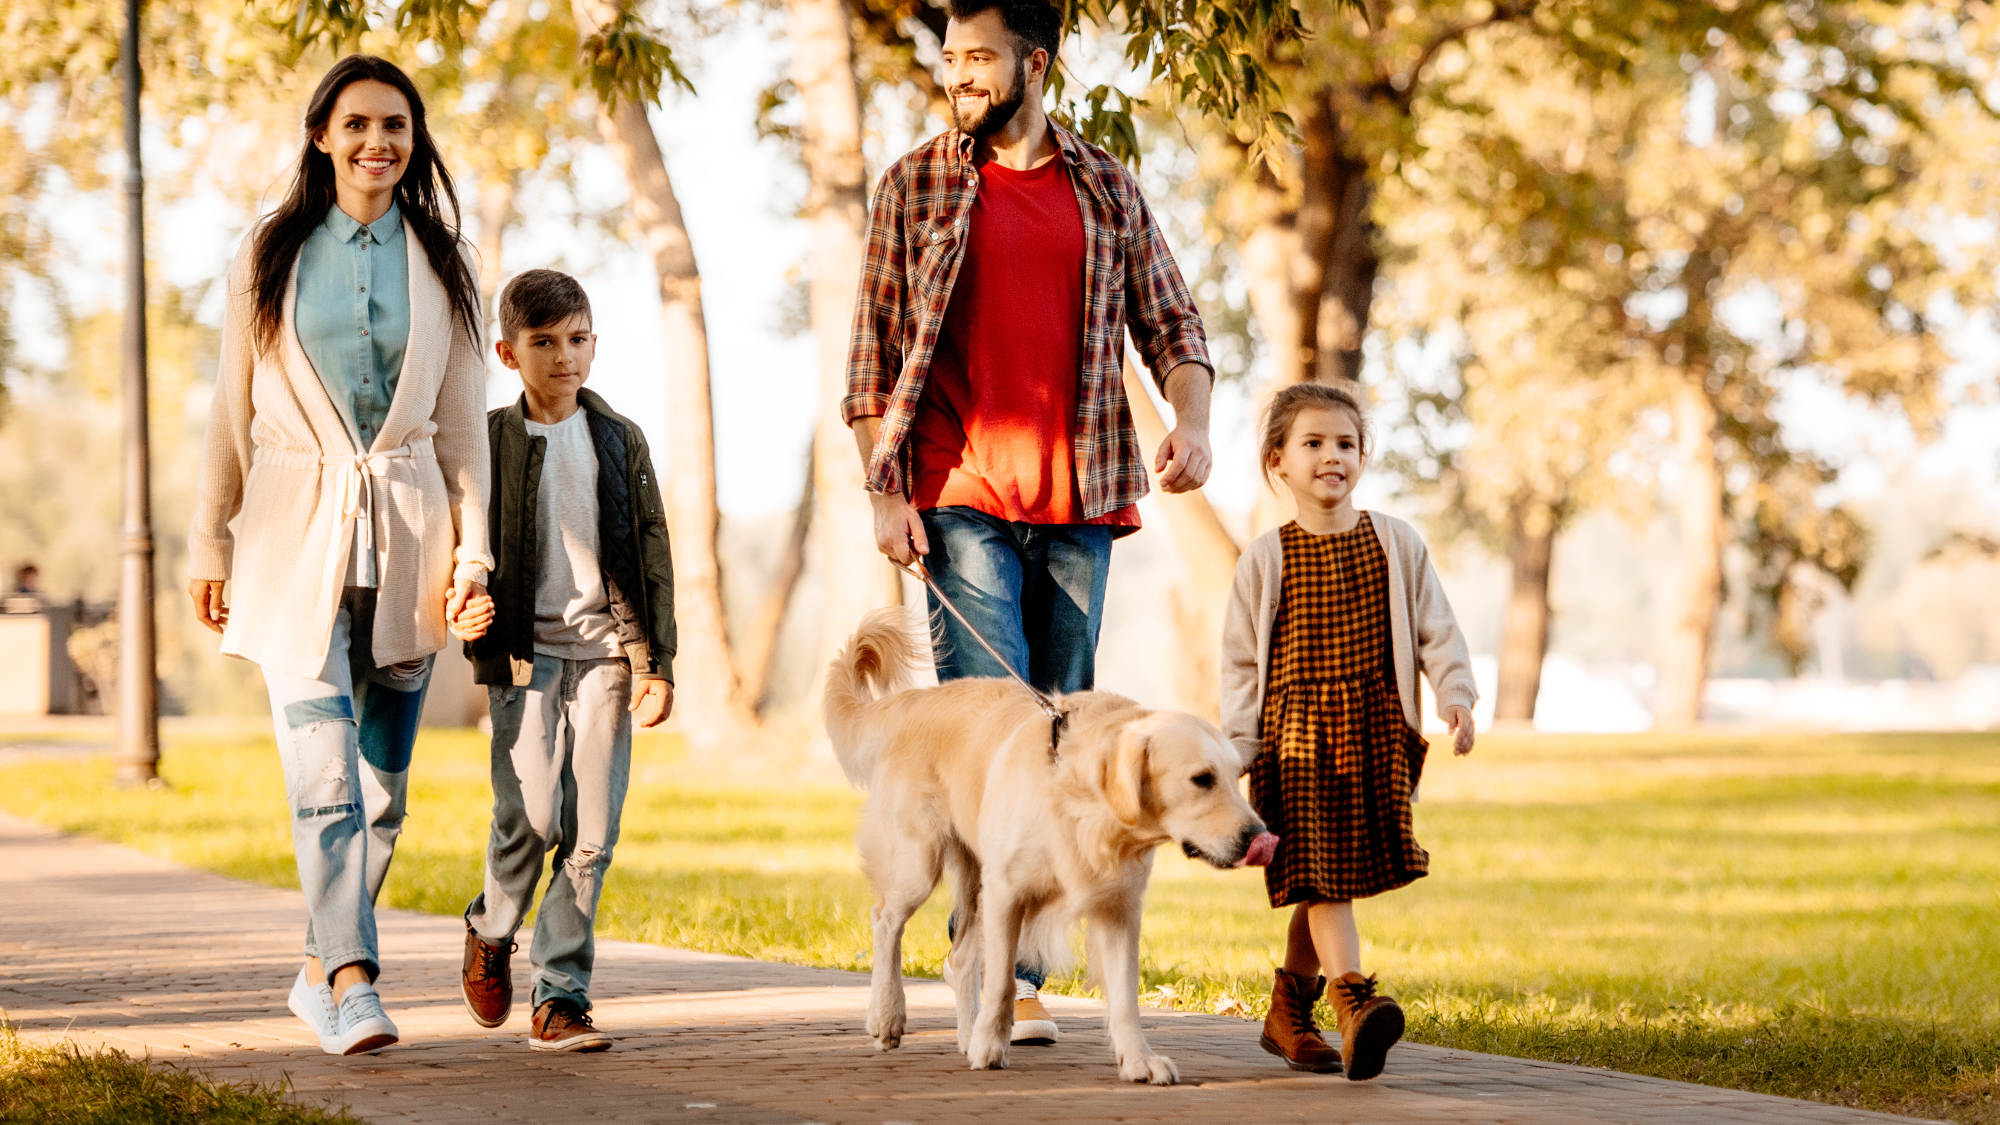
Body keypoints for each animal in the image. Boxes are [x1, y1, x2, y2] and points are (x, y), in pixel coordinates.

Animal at [820, 608, 1272, 1080]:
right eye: (1201, 779)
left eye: (1235, 777)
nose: (1258, 838)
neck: (1080, 804)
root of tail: (917, 700)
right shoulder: (1007, 891)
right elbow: (1001, 980)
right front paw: (991, 1047)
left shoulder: (1117, 904)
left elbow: (1125, 997)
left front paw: (1139, 1059)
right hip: (919, 862)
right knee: (886, 919)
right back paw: (888, 1016)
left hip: (974, 878)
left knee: (960, 957)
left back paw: (967, 1032)